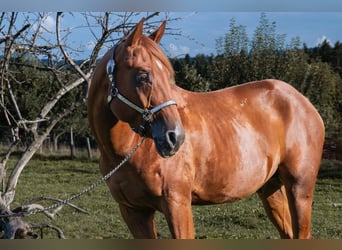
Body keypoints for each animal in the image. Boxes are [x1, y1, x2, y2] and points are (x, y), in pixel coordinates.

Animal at [87, 18, 324, 238]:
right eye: (142, 75)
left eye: (169, 76)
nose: (175, 137)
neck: (128, 151)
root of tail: (303, 101)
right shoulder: (134, 212)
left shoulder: (177, 204)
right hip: (271, 188)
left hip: (299, 189)